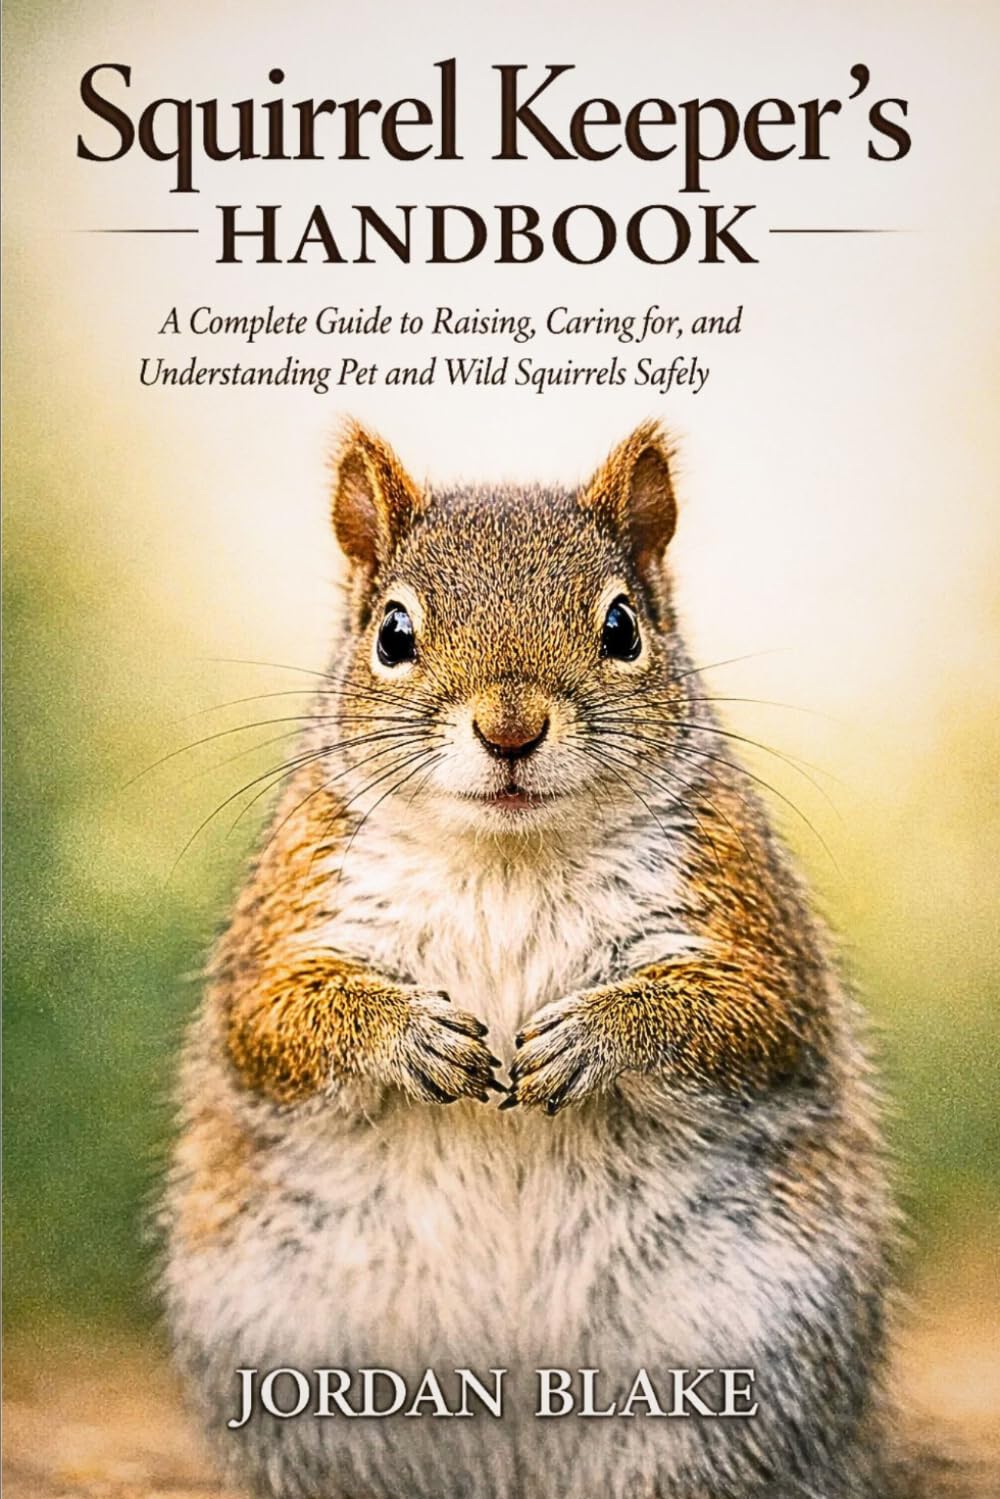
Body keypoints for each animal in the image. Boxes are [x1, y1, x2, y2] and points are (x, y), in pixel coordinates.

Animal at [161, 422, 964, 1499]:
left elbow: (753, 1019)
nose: (510, 727)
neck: (508, 855)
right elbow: (267, 1021)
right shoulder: (292, 897)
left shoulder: (744, 906)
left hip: (734, 1362)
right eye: (392, 633)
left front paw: (597, 1034)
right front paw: (410, 1035)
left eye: (623, 627)